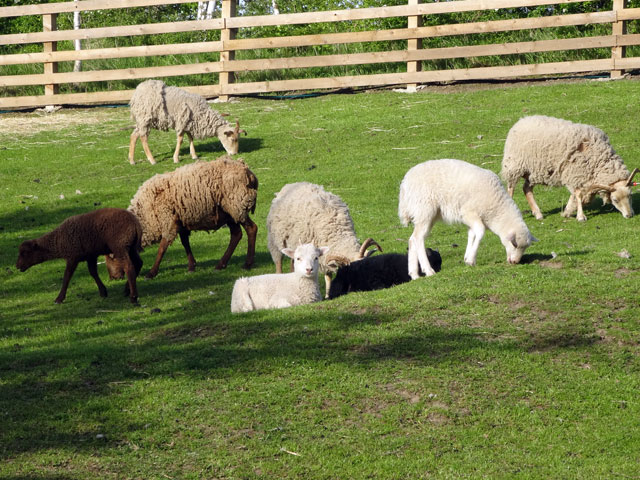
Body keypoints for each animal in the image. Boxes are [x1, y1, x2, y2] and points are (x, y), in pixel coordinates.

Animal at [105, 155, 258, 279]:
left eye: (112, 257)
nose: (113, 278)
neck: (145, 214)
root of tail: (249, 173)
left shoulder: (168, 220)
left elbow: (162, 248)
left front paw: (152, 273)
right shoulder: (181, 220)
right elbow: (185, 243)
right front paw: (191, 266)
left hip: (237, 206)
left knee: (251, 229)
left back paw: (247, 264)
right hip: (229, 213)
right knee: (236, 234)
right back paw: (221, 265)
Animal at [398, 159, 537, 279]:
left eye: (525, 248)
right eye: (515, 244)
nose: (515, 262)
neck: (496, 209)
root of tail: (405, 184)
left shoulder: (470, 217)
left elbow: (472, 233)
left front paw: (467, 257)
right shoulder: (468, 212)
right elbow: (480, 231)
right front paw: (471, 259)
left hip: (426, 214)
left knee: (412, 239)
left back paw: (414, 274)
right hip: (424, 209)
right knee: (418, 238)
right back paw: (428, 270)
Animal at [501, 115, 638, 222]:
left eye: (630, 195)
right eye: (615, 200)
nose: (630, 215)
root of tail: (522, 120)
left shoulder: (586, 179)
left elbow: (581, 197)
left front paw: (568, 211)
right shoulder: (575, 174)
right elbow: (578, 195)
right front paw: (580, 216)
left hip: (534, 171)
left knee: (527, 189)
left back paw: (538, 214)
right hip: (515, 165)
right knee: (511, 188)